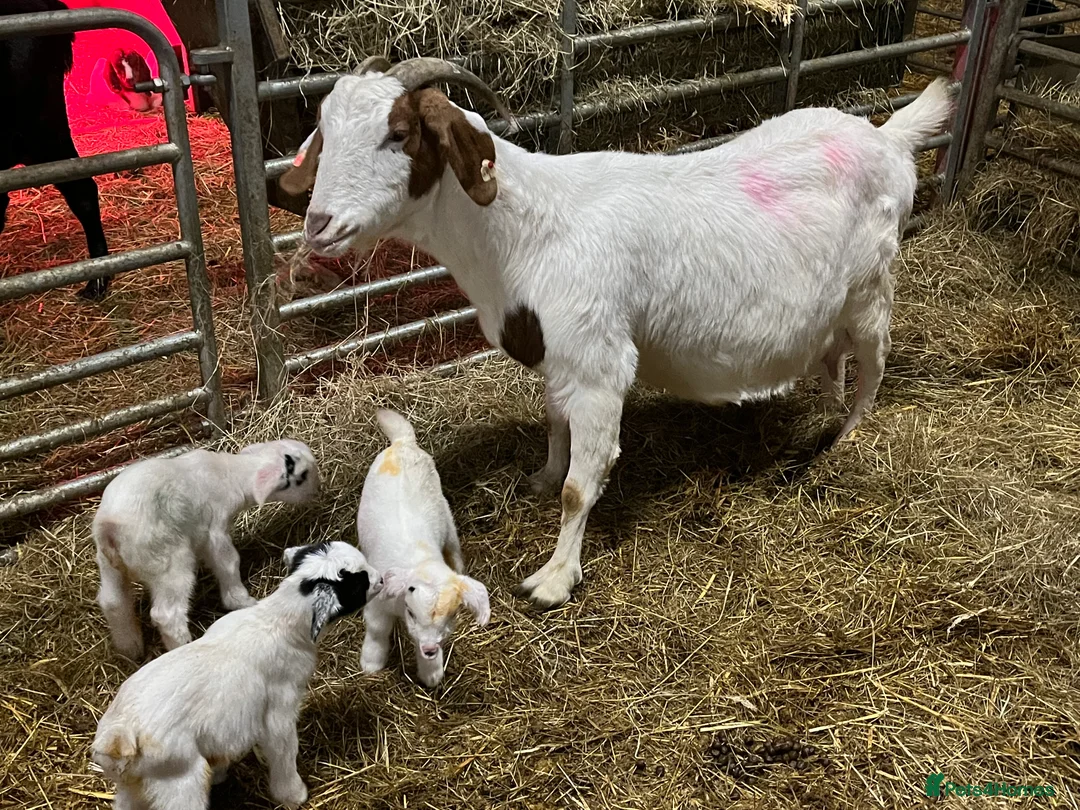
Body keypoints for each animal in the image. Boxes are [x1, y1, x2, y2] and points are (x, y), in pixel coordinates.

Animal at [92, 439, 320, 659]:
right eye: (303, 476)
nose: (317, 489)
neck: (231, 473)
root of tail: (109, 527)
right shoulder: (216, 530)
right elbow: (229, 562)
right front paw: (241, 600)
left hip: (109, 564)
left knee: (113, 601)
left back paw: (130, 648)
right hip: (168, 562)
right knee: (166, 615)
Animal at [92, 541, 382, 810]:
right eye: (359, 581)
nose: (380, 579)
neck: (276, 621)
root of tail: (121, 735)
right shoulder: (279, 710)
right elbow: (284, 750)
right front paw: (293, 795)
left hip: (132, 784)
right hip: (179, 779)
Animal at [281, 58, 954, 608]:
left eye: (399, 134)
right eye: (325, 133)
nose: (319, 224)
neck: (523, 232)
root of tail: (887, 135)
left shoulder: (598, 362)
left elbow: (582, 486)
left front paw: (553, 578)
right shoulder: (561, 356)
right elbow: (555, 424)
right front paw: (542, 476)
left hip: (872, 287)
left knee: (874, 367)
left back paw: (843, 439)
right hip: (833, 305)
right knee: (835, 355)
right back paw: (827, 408)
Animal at [357, 409, 490, 687]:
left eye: (452, 616)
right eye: (410, 611)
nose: (429, 649)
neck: (421, 562)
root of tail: (403, 443)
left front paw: (432, 673)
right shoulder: (377, 603)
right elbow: (377, 629)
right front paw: (371, 664)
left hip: (447, 519)